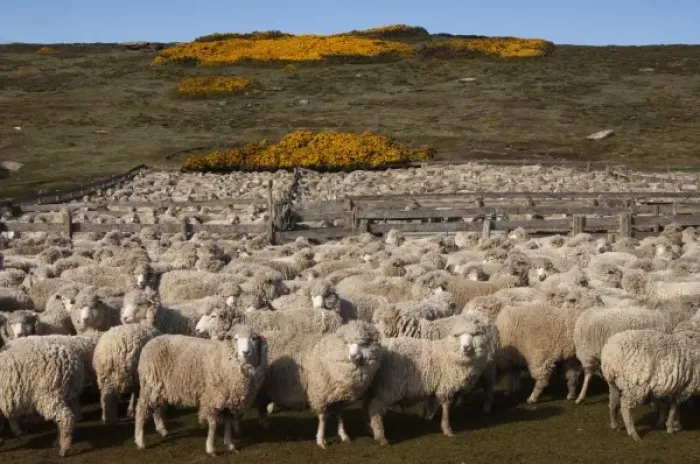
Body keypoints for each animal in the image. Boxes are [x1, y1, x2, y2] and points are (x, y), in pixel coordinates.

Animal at [134, 324, 267, 456]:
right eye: (236, 339)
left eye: (254, 338)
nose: (246, 352)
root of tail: (151, 341)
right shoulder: (212, 398)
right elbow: (213, 424)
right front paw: (210, 448)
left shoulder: (228, 400)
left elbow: (228, 424)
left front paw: (230, 444)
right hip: (150, 383)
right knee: (141, 409)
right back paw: (140, 441)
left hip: (159, 388)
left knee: (156, 407)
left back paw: (162, 430)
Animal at [363, 317, 496, 445]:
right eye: (457, 335)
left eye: (474, 335)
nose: (466, 347)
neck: (449, 354)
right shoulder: (445, 386)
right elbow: (446, 406)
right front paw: (447, 429)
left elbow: (431, 402)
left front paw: (429, 416)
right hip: (390, 387)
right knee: (374, 407)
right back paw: (381, 437)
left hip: (374, 386)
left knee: (367, 405)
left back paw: (370, 429)